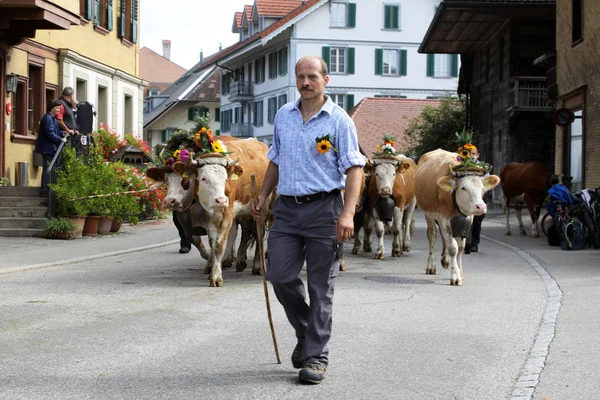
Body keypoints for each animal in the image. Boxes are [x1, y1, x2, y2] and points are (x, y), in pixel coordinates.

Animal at [172, 138, 268, 288]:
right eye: (203, 178)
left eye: (225, 179)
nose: (221, 200)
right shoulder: (210, 219)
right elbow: (213, 244)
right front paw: (213, 270)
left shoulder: (228, 213)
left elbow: (219, 245)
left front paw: (216, 277)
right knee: (246, 231)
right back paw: (240, 261)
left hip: (263, 208)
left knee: (260, 234)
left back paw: (258, 266)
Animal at [414, 149, 500, 284]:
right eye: (463, 188)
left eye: (482, 188)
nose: (481, 206)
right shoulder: (444, 218)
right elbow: (453, 248)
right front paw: (455, 276)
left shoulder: (468, 219)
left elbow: (460, 247)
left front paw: (460, 271)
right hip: (429, 214)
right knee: (432, 235)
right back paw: (431, 266)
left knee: (443, 236)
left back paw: (446, 261)